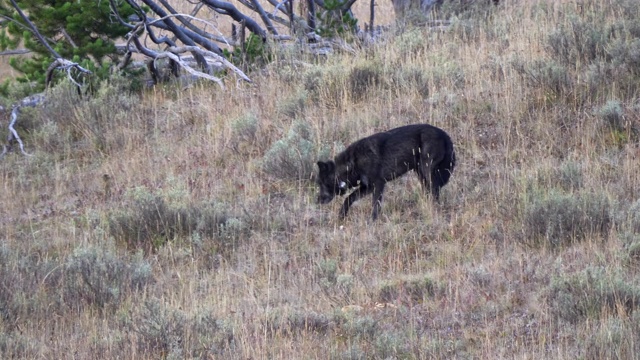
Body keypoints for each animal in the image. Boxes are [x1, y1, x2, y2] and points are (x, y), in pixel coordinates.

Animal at [316, 123, 456, 219]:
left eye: (321, 184)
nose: (317, 201)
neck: (352, 163)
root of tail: (445, 135)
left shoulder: (378, 184)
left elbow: (375, 205)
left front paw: (372, 222)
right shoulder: (367, 187)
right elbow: (349, 198)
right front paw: (341, 216)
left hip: (427, 171)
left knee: (434, 192)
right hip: (421, 174)